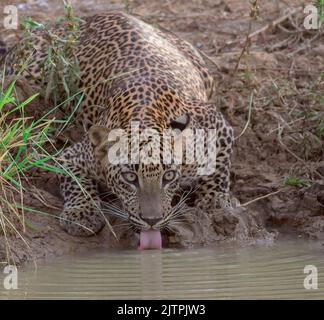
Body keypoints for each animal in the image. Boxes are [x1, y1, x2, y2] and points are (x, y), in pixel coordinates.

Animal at [2, 11, 235, 248]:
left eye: (169, 176)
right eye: (129, 178)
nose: (152, 220)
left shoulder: (214, 123)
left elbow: (219, 164)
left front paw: (214, 201)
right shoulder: (72, 156)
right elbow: (75, 182)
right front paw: (81, 214)